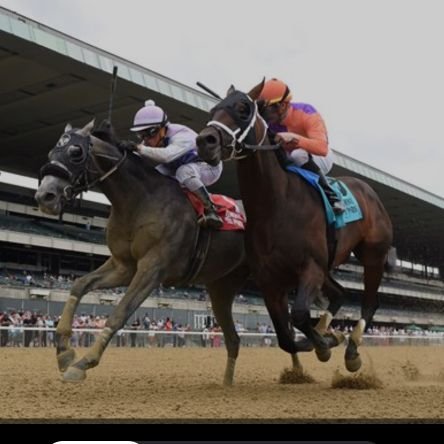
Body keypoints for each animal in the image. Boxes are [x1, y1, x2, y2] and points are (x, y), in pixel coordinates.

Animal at [33, 119, 250, 384]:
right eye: (51, 153)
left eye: (76, 152)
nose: (45, 196)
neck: (140, 201)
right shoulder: (123, 265)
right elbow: (79, 285)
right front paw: (64, 352)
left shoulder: (153, 268)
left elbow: (120, 312)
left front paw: (82, 363)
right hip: (221, 287)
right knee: (233, 339)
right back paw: (228, 384)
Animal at [196, 80, 394, 372]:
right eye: (213, 109)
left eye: (243, 109)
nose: (204, 141)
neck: (276, 205)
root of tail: (368, 190)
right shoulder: (270, 282)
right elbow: (285, 337)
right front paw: (326, 338)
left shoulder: (310, 268)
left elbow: (299, 315)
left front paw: (326, 342)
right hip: (328, 265)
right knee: (341, 294)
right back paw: (327, 330)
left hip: (372, 255)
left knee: (369, 302)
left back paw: (352, 351)